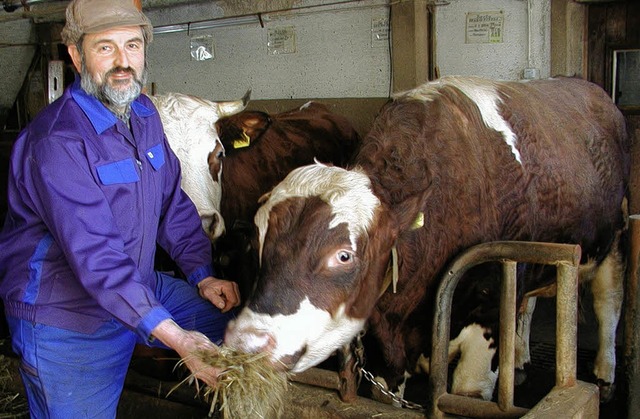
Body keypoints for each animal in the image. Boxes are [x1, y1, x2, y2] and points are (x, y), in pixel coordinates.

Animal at [225, 77, 632, 406]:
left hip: (614, 236)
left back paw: (604, 375)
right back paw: (520, 356)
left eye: (343, 255)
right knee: (528, 303)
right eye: (254, 247)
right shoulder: (387, 350)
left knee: (608, 302)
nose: (246, 345)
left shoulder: (486, 323)